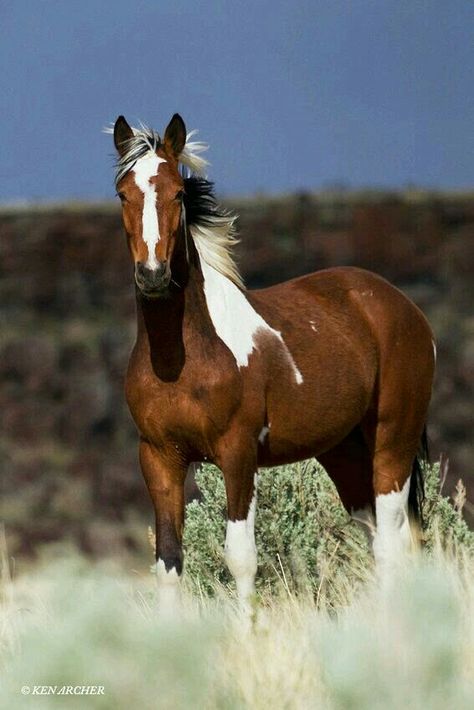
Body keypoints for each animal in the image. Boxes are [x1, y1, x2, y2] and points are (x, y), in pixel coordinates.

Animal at [109, 112, 436, 612]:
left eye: (178, 193)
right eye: (123, 193)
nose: (153, 275)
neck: (183, 361)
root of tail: (402, 306)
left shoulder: (237, 453)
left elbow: (241, 558)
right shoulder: (159, 458)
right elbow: (168, 564)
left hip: (392, 444)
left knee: (393, 542)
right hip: (343, 451)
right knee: (378, 539)